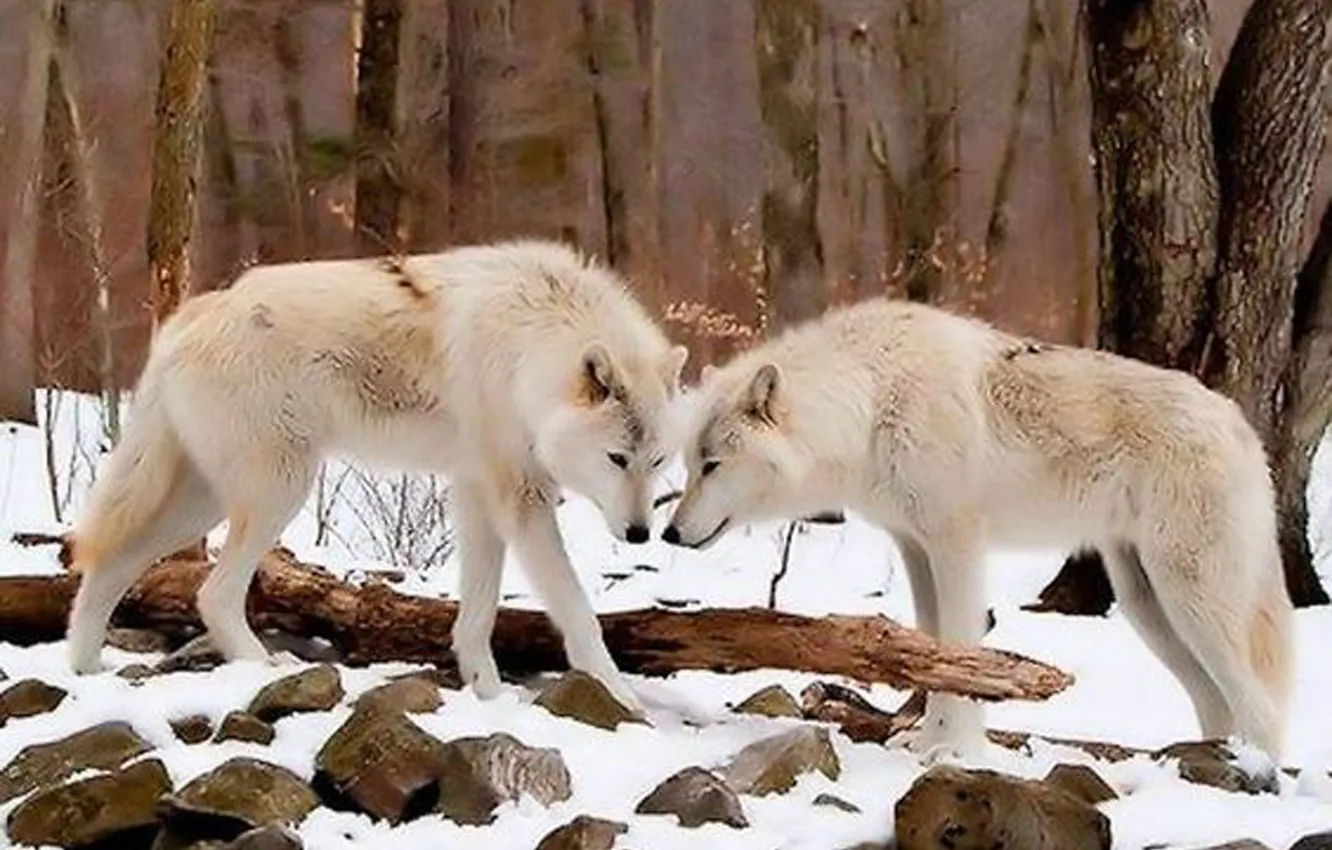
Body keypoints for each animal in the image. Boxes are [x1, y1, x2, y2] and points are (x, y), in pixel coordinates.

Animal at [65, 239, 687, 712]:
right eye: (617, 459)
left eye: (656, 462)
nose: (639, 535)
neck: (528, 345)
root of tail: (194, 315)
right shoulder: (521, 497)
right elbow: (579, 612)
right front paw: (623, 701)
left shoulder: (478, 492)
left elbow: (478, 613)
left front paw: (485, 692)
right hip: (278, 492)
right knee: (212, 594)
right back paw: (266, 671)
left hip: (201, 504)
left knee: (108, 566)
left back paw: (84, 670)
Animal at [662, 297, 1294, 763]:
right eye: (689, 464)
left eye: (712, 464)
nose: (669, 533)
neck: (871, 400)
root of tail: (1241, 425)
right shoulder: (916, 548)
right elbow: (932, 651)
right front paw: (927, 740)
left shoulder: (957, 543)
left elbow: (963, 648)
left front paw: (957, 751)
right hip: (1147, 606)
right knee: (1217, 703)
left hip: (1191, 600)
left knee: (1264, 708)